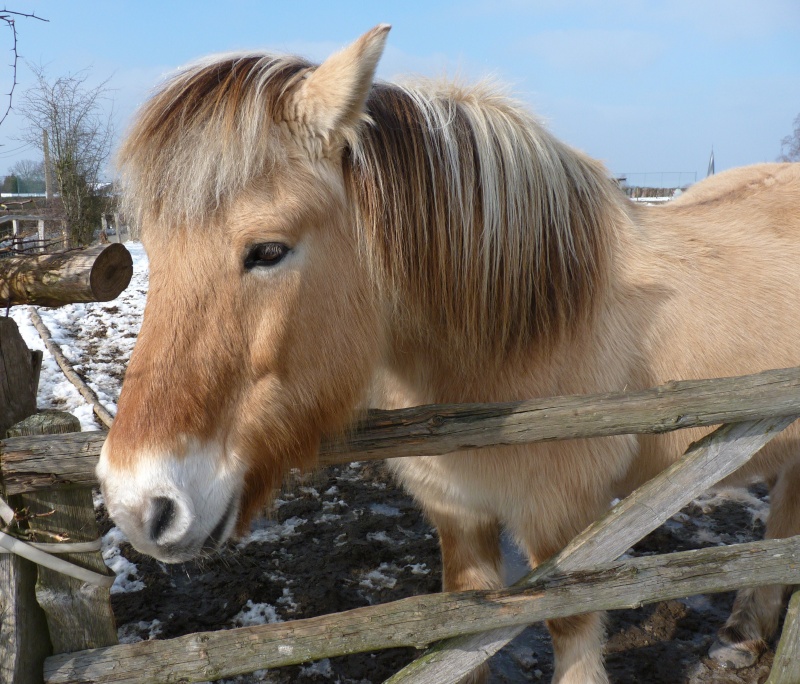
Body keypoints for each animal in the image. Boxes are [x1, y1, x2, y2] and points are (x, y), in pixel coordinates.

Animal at [98, 26, 800, 684]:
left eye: (268, 250)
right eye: (153, 247)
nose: (139, 505)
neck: (524, 329)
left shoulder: (566, 527)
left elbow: (572, 635)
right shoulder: (459, 517)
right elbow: (464, 632)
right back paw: (742, 635)